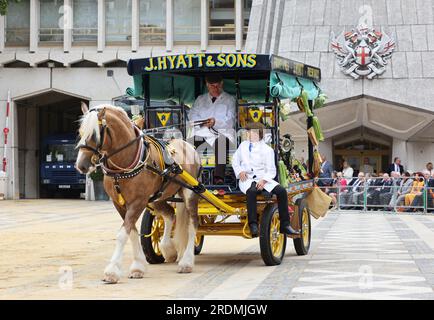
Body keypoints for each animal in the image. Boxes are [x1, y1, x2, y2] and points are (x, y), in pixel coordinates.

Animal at [75, 104, 202, 284]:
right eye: (80, 131)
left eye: (94, 134)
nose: (81, 165)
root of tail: (188, 146)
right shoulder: (120, 203)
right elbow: (132, 231)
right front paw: (138, 266)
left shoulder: (138, 202)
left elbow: (123, 234)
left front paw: (112, 271)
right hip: (158, 197)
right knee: (170, 214)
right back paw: (167, 249)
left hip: (190, 192)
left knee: (193, 223)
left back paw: (187, 262)